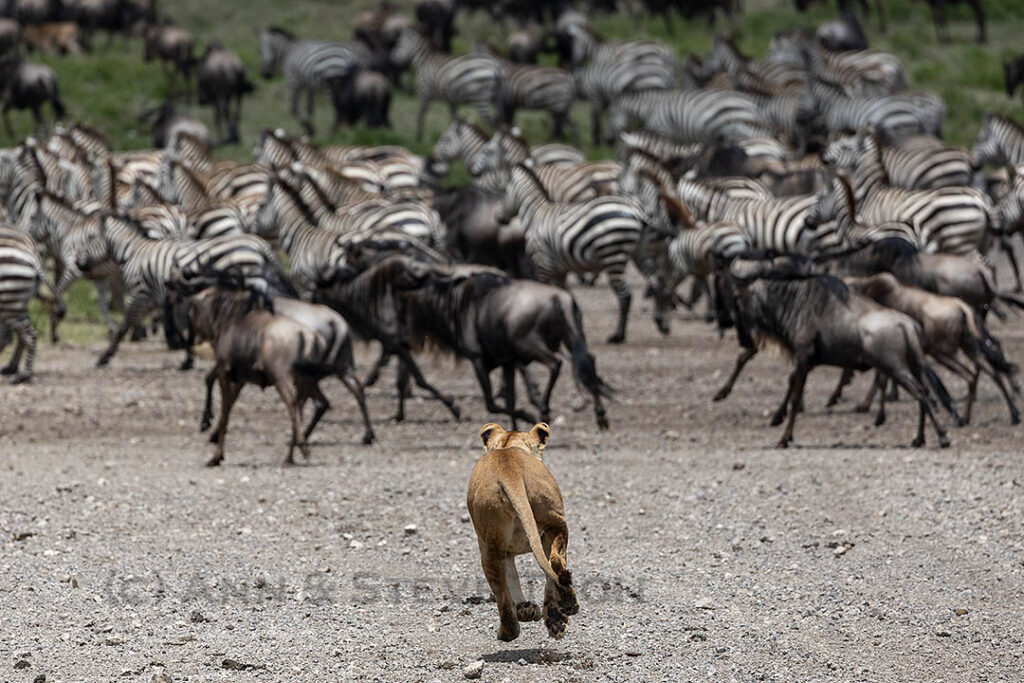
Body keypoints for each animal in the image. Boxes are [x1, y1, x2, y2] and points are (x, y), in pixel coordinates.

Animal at [466, 422, 579, 641]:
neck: (507, 447)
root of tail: (509, 472)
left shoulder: (506, 550)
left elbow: (513, 577)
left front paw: (528, 610)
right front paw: (537, 612)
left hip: (489, 544)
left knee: (503, 592)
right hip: (555, 522)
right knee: (555, 562)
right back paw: (557, 612)